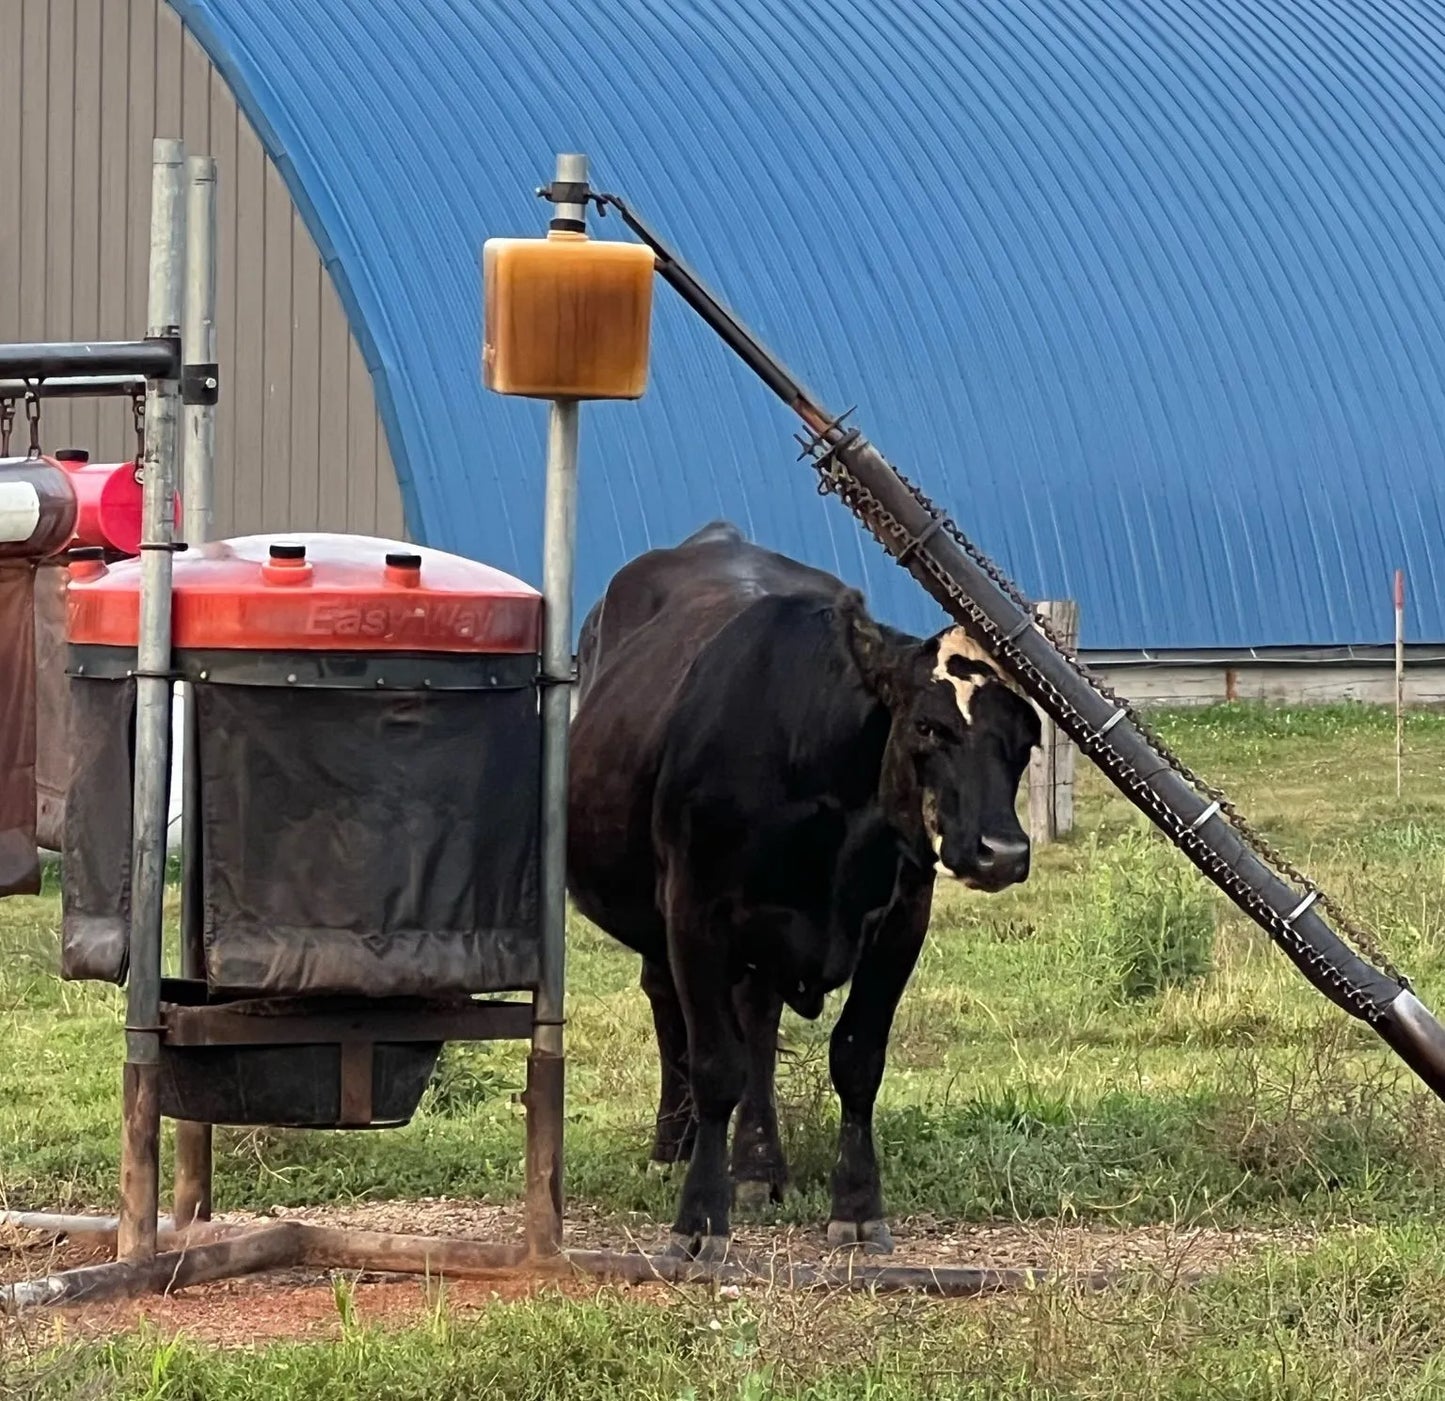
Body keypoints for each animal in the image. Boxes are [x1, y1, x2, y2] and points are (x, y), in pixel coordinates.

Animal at [567, 521, 1041, 1260]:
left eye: (1026, 739)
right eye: (927, 727)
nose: (1003, 852)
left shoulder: (902, 919)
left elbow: (856, 1058)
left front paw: (857, 1207)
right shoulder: (694, 910)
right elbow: (715, 1062)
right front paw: (698, 1220)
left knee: (758, 1024)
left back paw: (757, 1167)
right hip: (660, 919)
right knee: (669, 1007)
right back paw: (673, 1147)